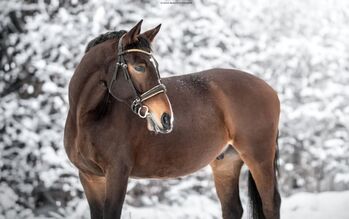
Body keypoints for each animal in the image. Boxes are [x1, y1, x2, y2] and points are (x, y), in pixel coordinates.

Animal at [63, 19, 280, 218]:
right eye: (139, 67)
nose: (166, 117)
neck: (88, 118)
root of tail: (269, 89)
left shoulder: (117, 175)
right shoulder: (90, 178)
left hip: (259, 158)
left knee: (271, 204)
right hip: (226, 163)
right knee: (233, 208)